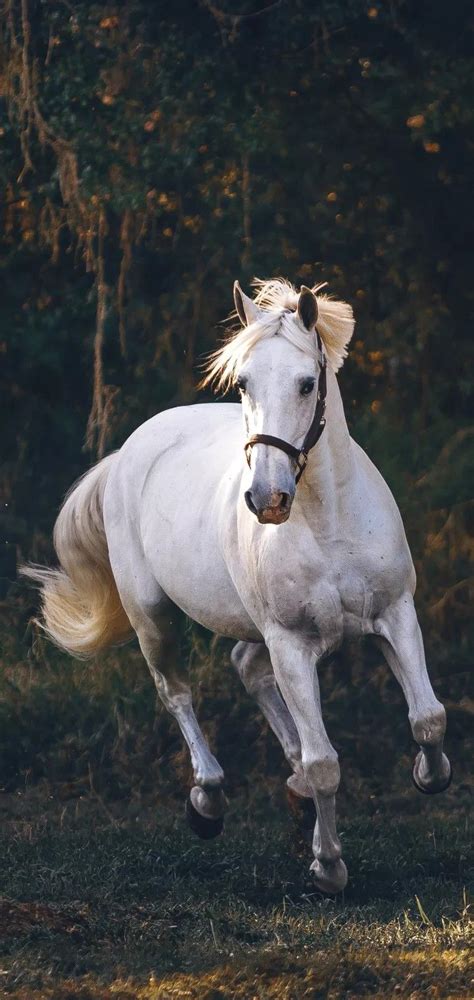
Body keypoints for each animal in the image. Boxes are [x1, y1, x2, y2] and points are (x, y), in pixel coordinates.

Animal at [26, 280, 452, 892]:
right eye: (244, 382)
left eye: (307, 383)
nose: (266, 499)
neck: (328, 520)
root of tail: (130, 450)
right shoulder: (291, 644)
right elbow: (326, 763)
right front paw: (328, 867)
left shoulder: (395, 615)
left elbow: (428, 718)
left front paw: (426, 774)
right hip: (153, 616)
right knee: (176, 692)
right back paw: (207, 802)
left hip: (254, 627)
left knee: (246, 668)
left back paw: (291, 792)